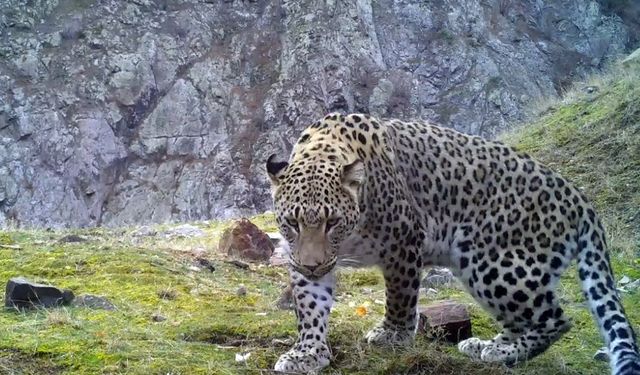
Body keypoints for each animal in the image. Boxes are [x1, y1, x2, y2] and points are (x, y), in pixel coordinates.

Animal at [264, 114, 640, 375]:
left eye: (332, 223)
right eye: (293, 223)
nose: (312, 264)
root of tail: (576, 195)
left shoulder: (404, 241)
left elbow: (400, 297)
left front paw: (393, 336)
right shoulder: (304, 260)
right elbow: (310, 308)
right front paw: (308, 353)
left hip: (493, 263)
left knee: (554, 319)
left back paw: (500, 352)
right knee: (527, 320)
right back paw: (488, 346)